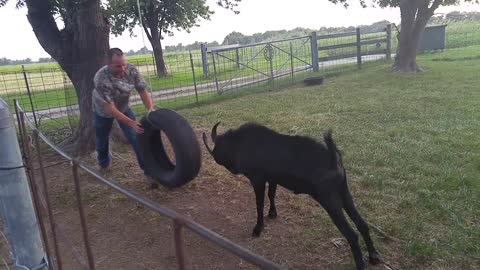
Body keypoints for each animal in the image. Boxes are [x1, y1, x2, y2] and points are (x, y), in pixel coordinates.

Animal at [202, 123, 382, 270]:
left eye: (218, 149)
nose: (231, 168)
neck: (241, 142)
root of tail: (332, 157)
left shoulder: (257, 179)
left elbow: (259, 203)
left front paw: (258, 228)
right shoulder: (272, 179)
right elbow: (271, 195)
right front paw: (272, 214)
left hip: (330, 200)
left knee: (352, 235)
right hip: (344, 193)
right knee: (362, 224)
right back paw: (374, 256)